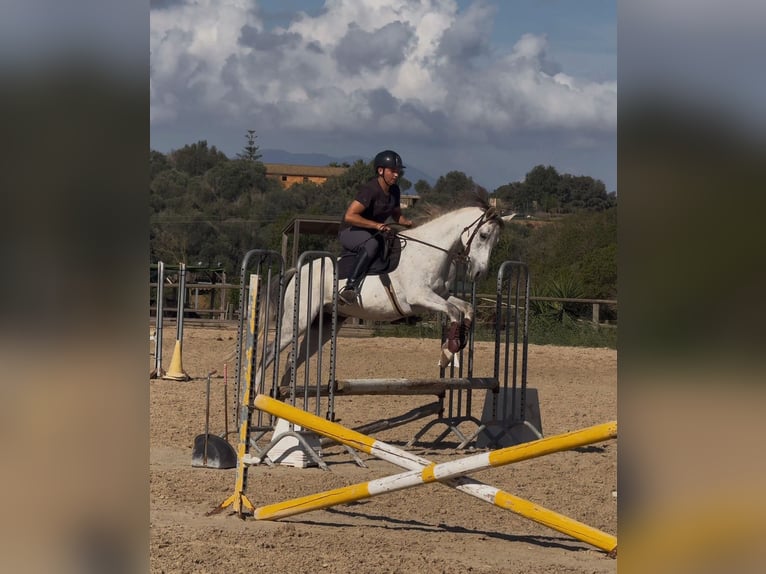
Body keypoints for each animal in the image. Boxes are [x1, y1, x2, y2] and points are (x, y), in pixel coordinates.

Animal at [260, 195, 516, 392]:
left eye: (496, 241)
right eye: (483, 235)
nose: (479, 273)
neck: (432, 251)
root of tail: (297, 270)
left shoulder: (437, 296)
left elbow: (466, 308)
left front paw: (458, 342)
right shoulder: (419, 297)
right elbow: (453, 310)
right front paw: (447, 351)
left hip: (321, 325)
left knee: (293, 359)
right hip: (298, 320)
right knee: (269, 353)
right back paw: (255, 397)